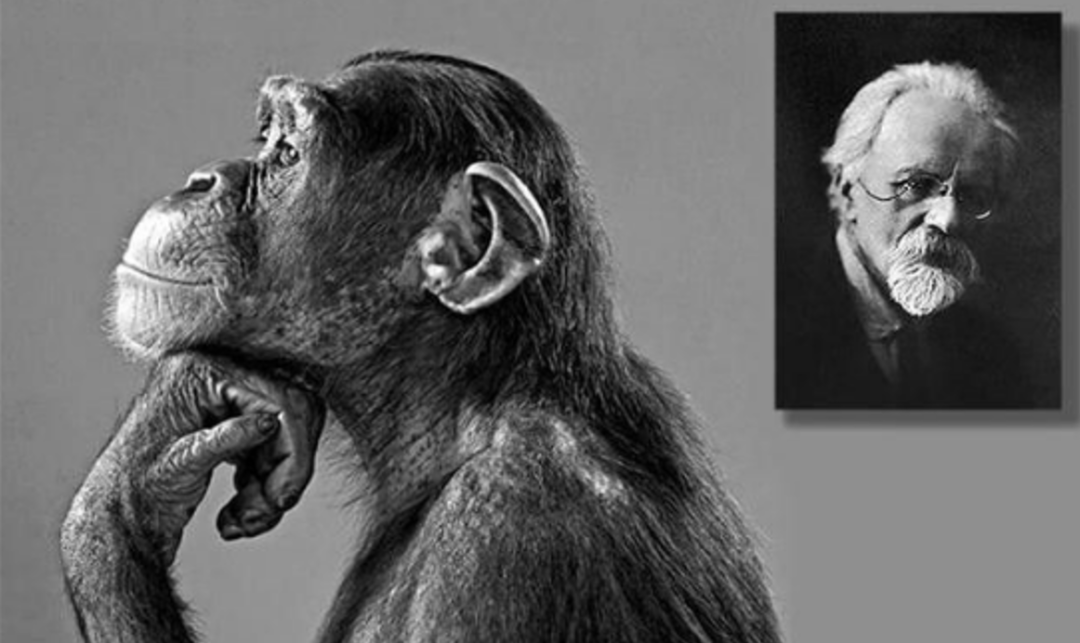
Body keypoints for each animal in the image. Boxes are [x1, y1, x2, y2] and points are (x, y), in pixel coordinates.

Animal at [60, 51, 782, 642]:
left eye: (288, 153)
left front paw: (127, 479)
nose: (201, 178)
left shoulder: (507, 544)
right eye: (265, 138)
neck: (471, 406)